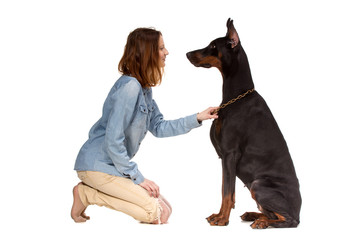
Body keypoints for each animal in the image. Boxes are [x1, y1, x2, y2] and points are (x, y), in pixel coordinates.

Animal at [186, 17, 300, 228]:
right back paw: (254, 215)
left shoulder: (230, 153)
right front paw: (220, 215)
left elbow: (227, 192)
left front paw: (222, 219)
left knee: (289, 221)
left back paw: (263, 222)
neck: (235, 96)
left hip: (258, 183)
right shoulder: (224, 158)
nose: (188, 53)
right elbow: (226, 189)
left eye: (213, 45)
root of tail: (300, 210)